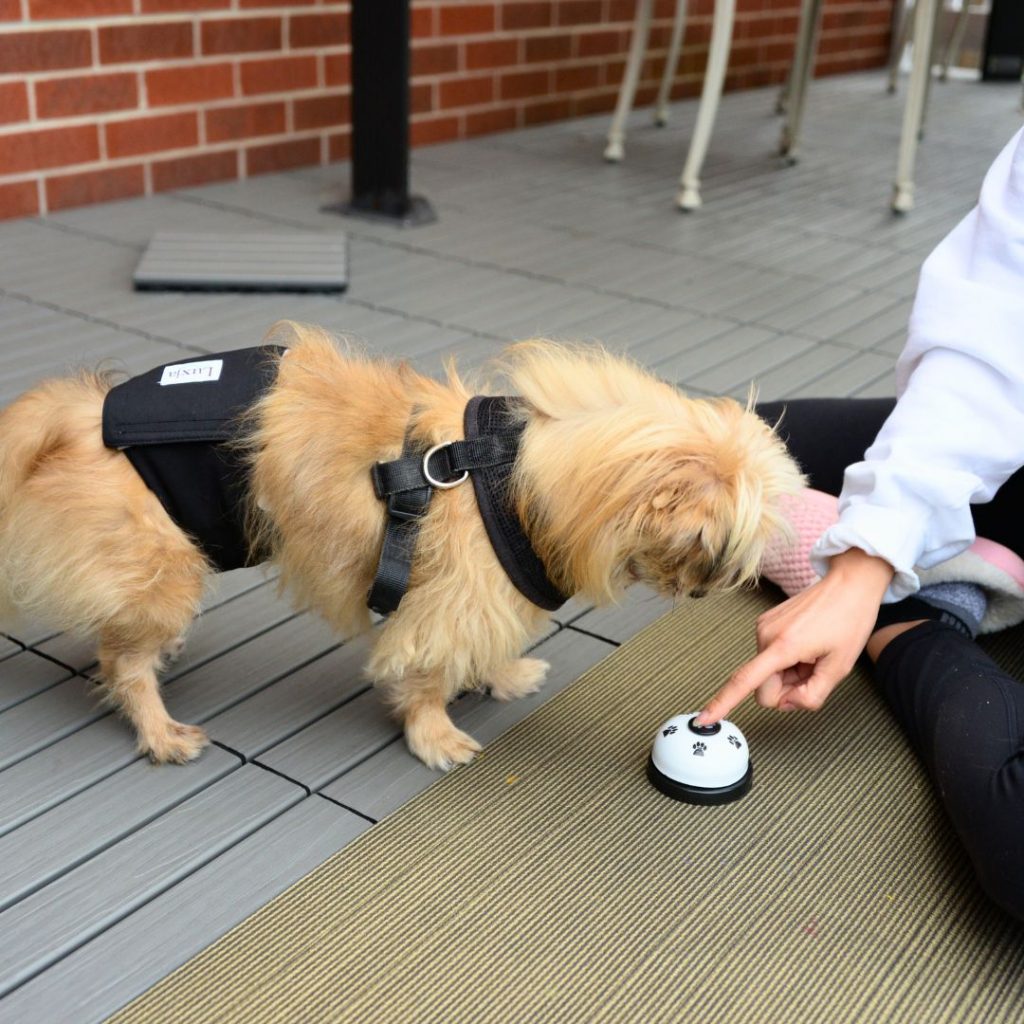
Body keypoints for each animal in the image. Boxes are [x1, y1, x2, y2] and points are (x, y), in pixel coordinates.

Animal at [0, 325, 802, 770]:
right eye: (710, 553)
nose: (703, 591)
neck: (511, 470)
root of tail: (82, 411)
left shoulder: (477, 604)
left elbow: (487, 646)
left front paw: (502, 675)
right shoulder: (444, 609)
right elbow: (426, 677)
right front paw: (436, 735)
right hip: (164, 570)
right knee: (124, 667)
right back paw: (161, 732)